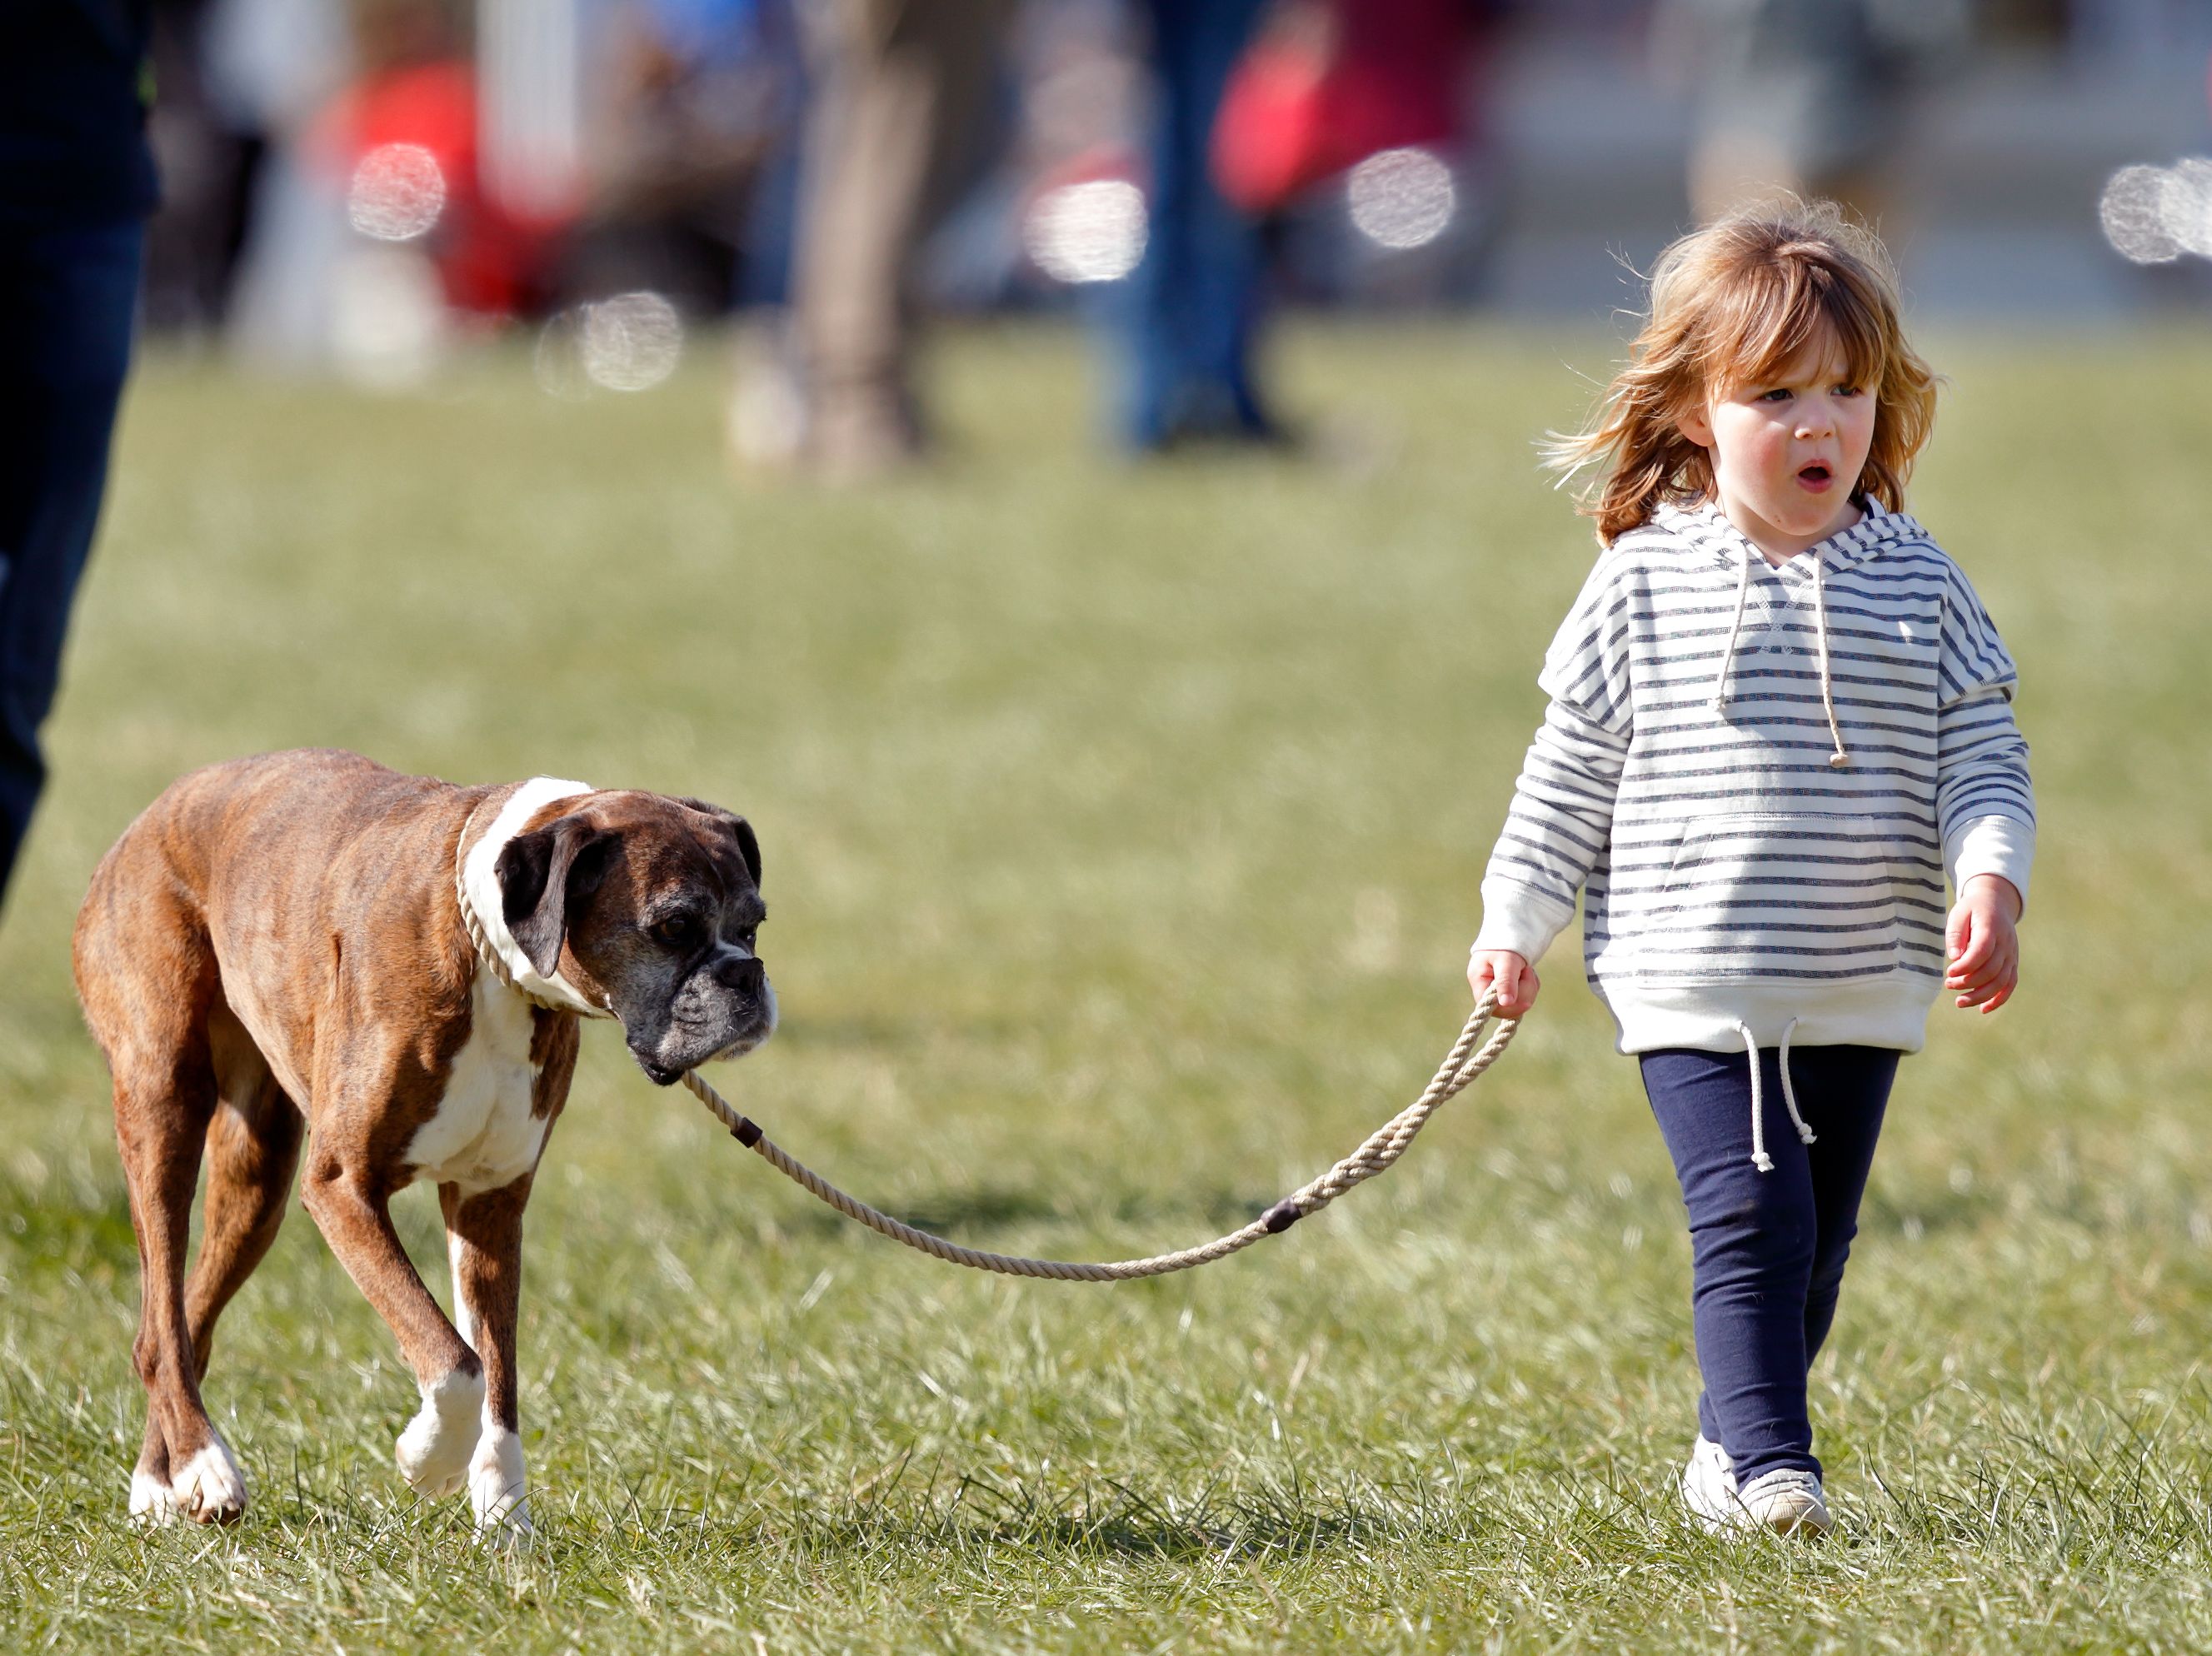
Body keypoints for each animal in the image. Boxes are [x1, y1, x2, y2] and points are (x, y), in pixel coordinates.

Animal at [75, 747, 778, 1539]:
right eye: (673, 926)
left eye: (754, 925)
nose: (746, 974)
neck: (493, 959)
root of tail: (152, 815)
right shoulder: (344, 1188)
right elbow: (454, 1360)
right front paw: (429, 1459)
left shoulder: (489, 1207)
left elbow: (497, 1376)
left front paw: (505, 1524)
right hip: (164, 1104)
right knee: (161, 1317)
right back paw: (202, 1467)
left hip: (258, 1179)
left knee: (182, 1322)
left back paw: (160, 1483)